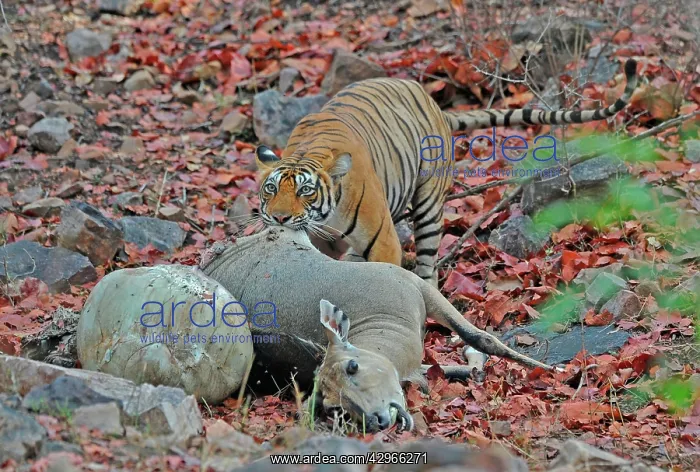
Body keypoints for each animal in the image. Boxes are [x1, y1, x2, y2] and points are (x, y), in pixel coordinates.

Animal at [254, 59, 638, 287]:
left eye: (305, 191)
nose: (280, 218)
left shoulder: (382, 241)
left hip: (428, 204)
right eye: (270, 189)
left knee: (427, 264)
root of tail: (429, 98)